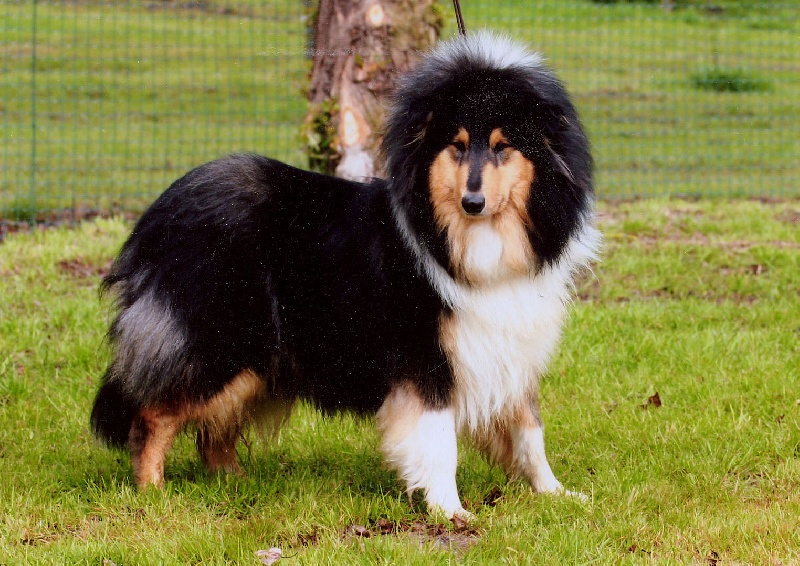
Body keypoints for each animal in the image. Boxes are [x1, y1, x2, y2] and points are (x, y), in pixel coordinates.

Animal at [91, 31, 600, 519]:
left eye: (501, 147)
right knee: (153, 414)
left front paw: (558, 494)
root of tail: (156, 217)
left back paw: (235, 485)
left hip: (258, 361)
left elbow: (530, 433)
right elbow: (439, 443)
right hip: (220, 343)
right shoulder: (426, 359)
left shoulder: (507, 348)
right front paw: (450, 510)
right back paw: (153, 493)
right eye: (456, 146)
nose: (472, 202)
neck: (469, 240)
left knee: (211, 432)